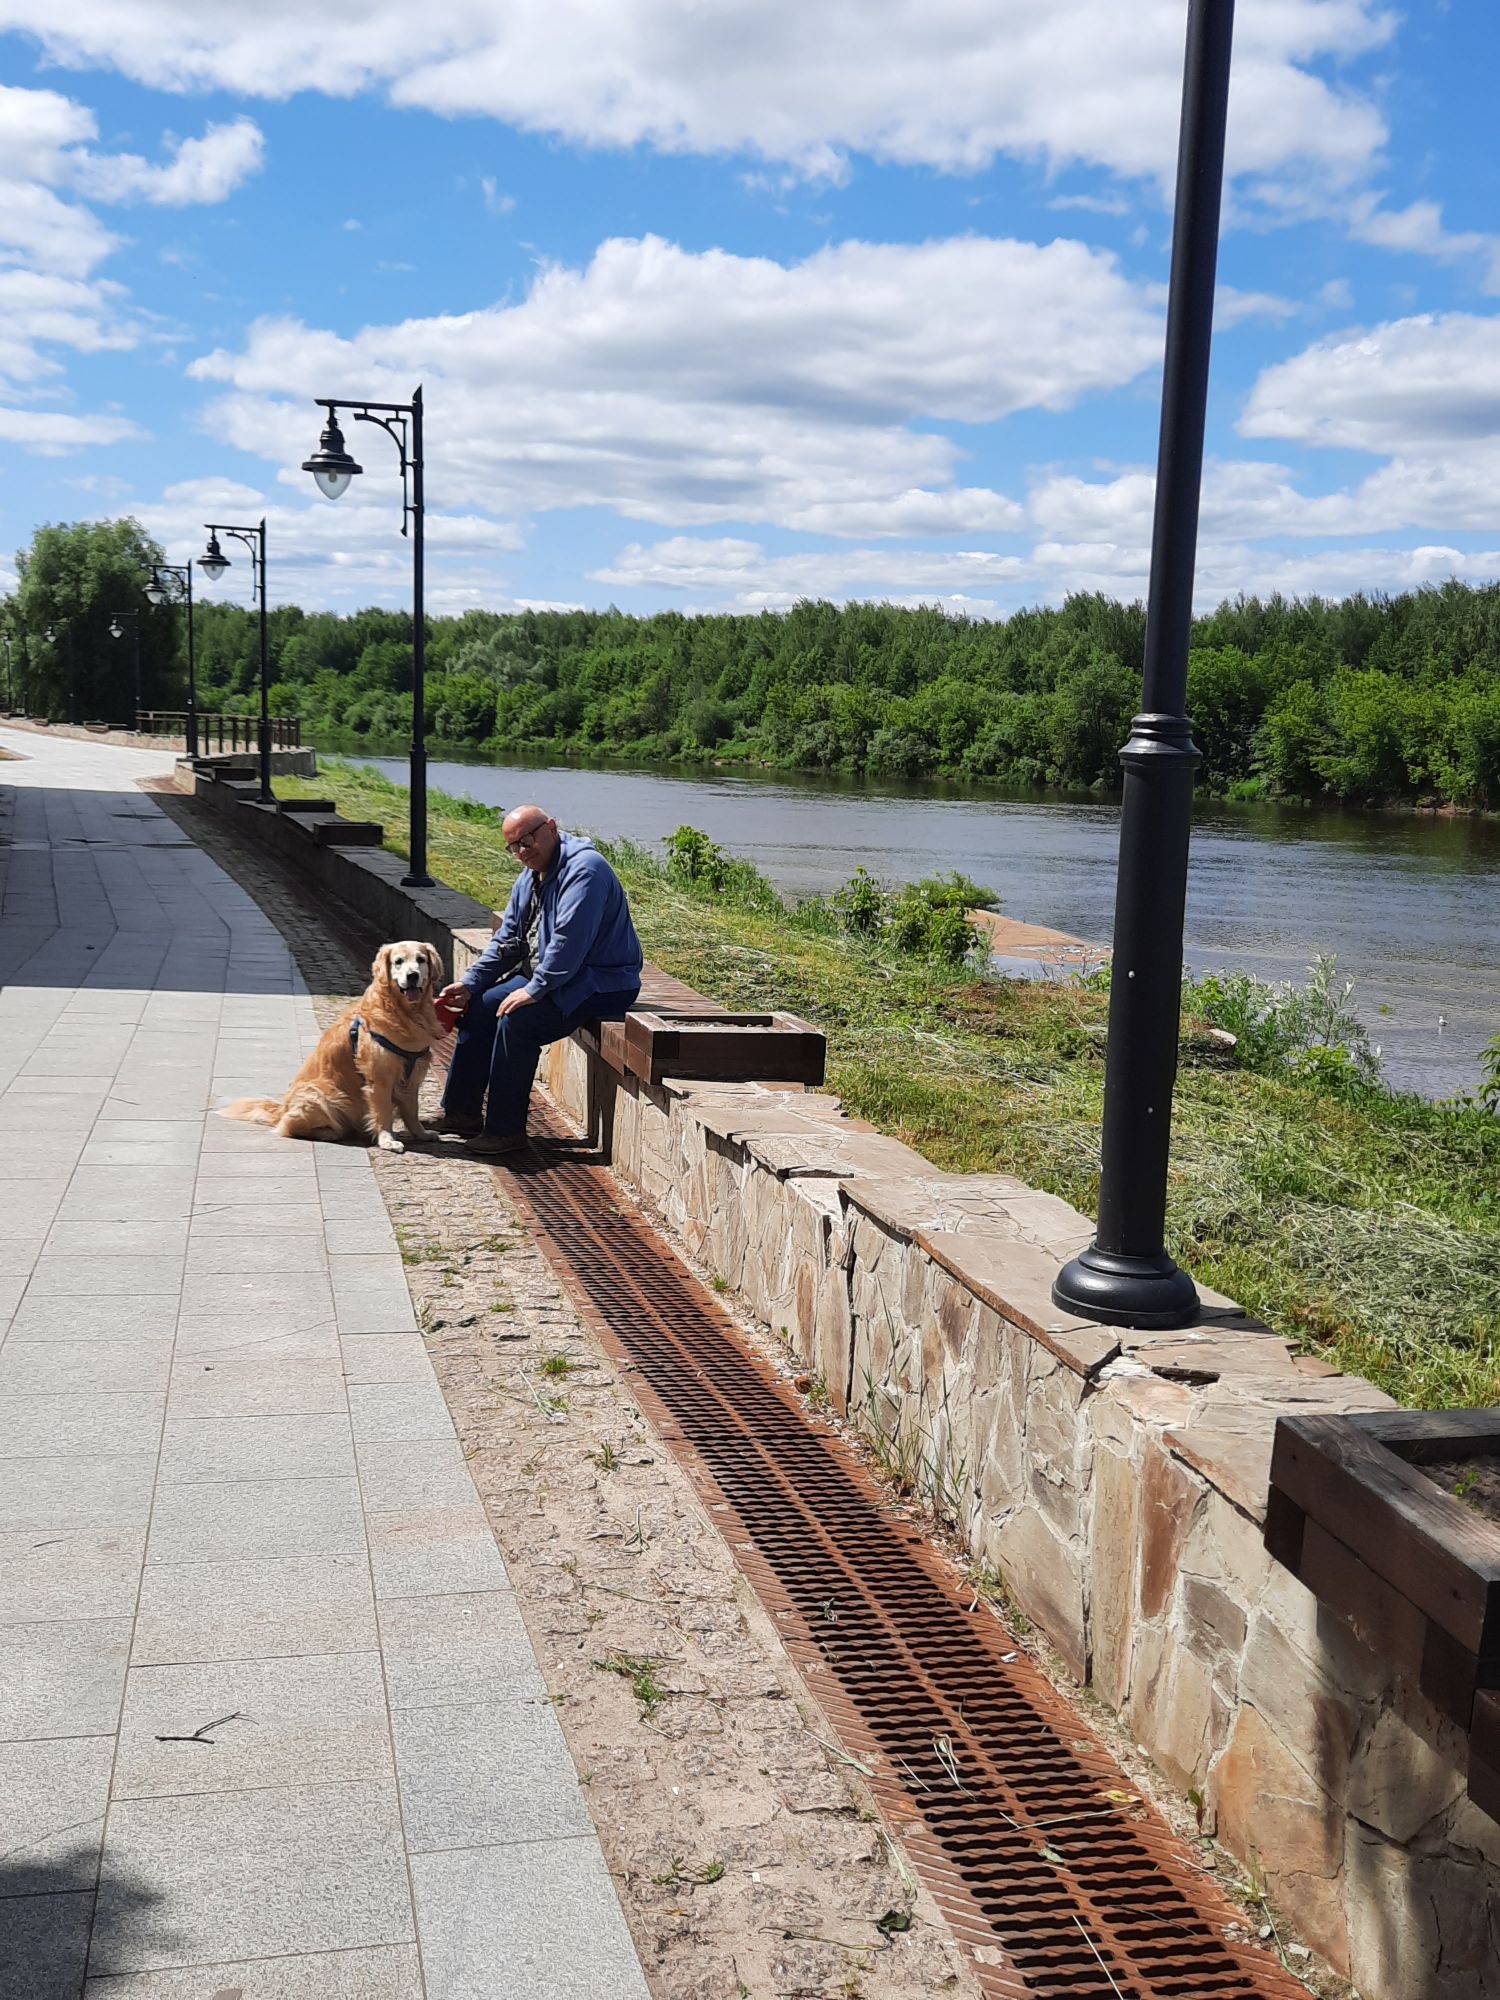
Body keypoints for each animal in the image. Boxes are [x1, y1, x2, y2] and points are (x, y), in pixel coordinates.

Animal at [221, 941, 446, 1152]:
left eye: (420, 959)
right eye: (398, 961)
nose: (412, 975)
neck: (406, 1014)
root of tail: (282, 1109)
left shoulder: (413, 1075)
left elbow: (412, 1110)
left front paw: (421, 1134)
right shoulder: (379, 1077)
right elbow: (383, 1112)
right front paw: (387, 1140)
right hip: (322, 1095)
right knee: (289, 1126)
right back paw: (329, 1132)